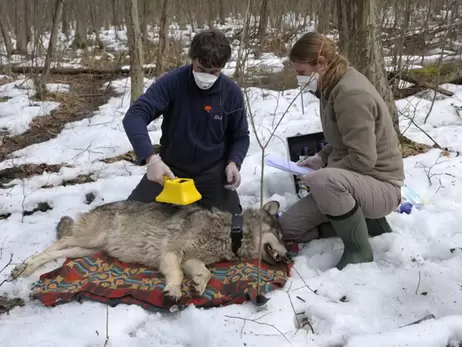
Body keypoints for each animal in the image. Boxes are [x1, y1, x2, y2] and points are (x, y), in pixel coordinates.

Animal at [10, 200, 290, 300]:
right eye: (279, 236)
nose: (288, 255)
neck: (230, 232)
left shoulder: (191, 259)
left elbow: (206, 273)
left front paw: (197, 286)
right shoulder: (171, 254)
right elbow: (176, 275)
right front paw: (174, 291)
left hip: (86, 250)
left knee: (58, 253)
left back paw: (25, 268)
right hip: (89, 239)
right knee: (57, 244)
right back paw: (22, 268)